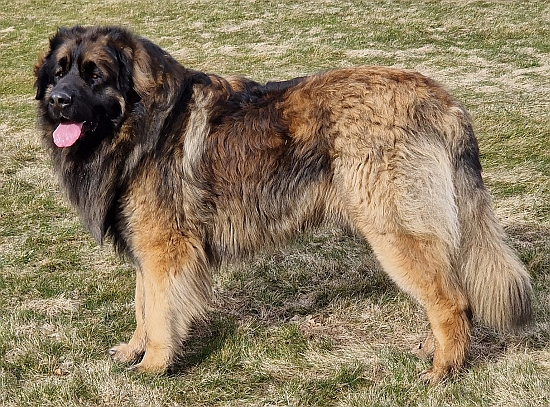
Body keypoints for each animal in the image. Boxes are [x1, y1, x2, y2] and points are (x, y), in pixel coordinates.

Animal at [34, 27, 536, 384]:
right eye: (59, 73)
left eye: (95, 75)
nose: (58, 101)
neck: (141, 126)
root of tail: (443, 101)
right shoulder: (148, 252)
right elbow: (143, 306)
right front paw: (133, 350)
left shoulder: (165, 251)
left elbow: (159, 313)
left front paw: (154, 365)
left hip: (395, 231)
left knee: (452, 300)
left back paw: (444, 370)